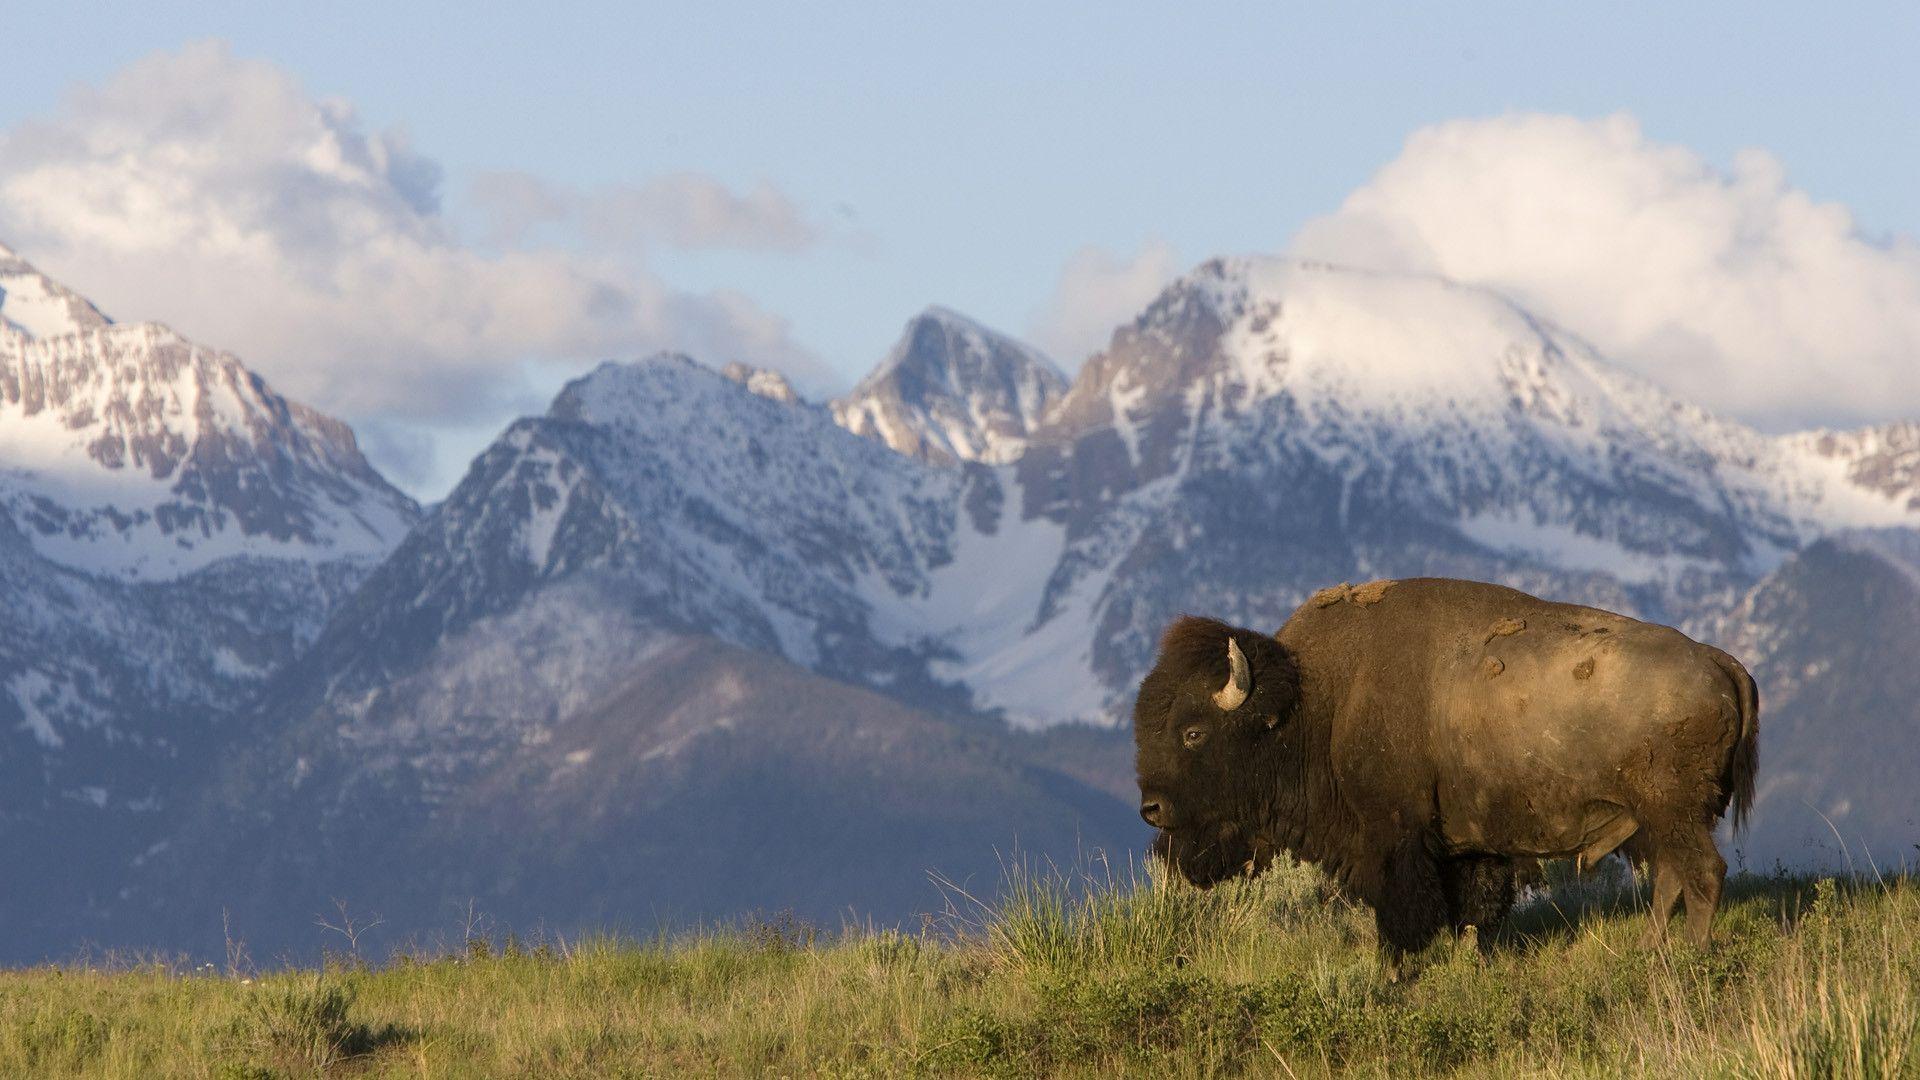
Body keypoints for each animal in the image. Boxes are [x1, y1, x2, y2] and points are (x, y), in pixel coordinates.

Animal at [1128, 576, 1758, 953]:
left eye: (1193, 732)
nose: (1150, 808)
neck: (1315, 703)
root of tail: (1717, 660)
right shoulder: (1466, 847)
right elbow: (1471, 908)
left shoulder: (1395, 840)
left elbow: (1408, 912)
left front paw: (1399, 968)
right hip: (1660, 820)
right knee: (1673, 877)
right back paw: (1652, 949)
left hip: (1673, 812)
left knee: (1703, 873)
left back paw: (1689, 956)